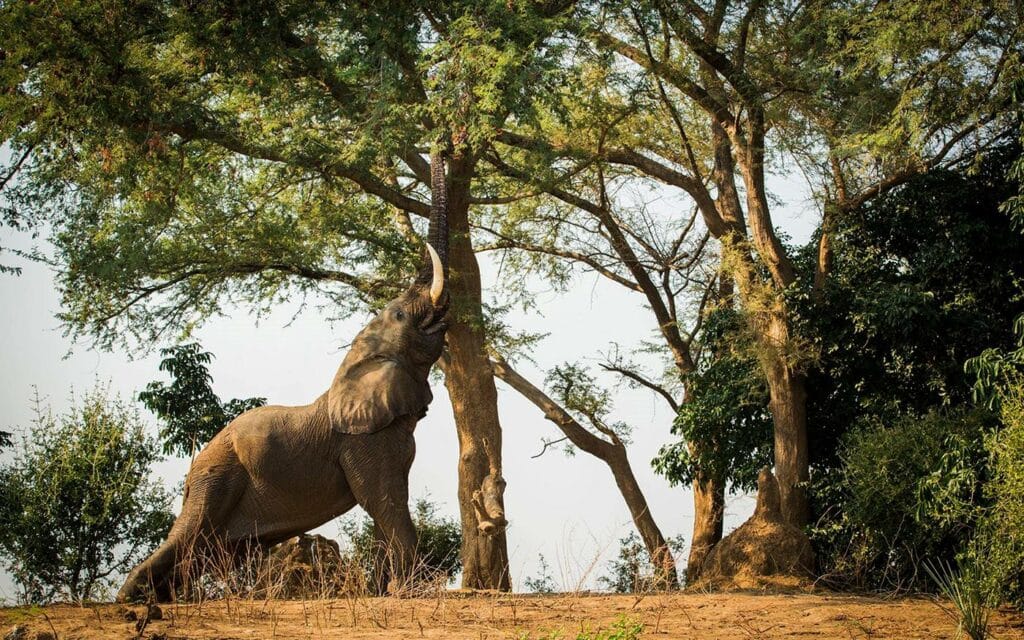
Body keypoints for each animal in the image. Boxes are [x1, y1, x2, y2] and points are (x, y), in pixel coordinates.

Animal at [117, 154, 451, 603]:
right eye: (400, 314)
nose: (441, 148)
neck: (359, 359)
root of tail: (194, 467)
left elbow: (387, 503)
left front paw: (388, 590)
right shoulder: (361, 442)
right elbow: (383, 499)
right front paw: (415, 591)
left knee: (200, 552)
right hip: (215, 477)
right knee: (187, 537)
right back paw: (130, 599)